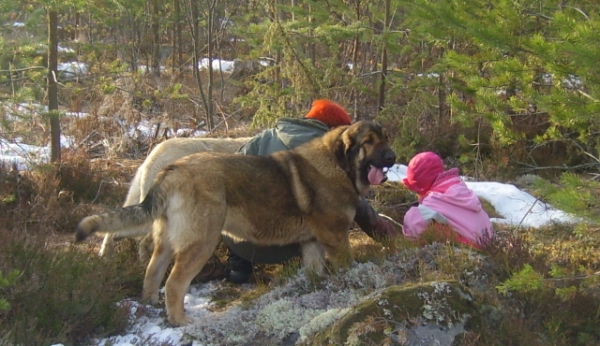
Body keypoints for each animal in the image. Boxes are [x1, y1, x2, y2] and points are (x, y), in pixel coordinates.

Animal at [75, 120, 396, 326]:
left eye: (386, 138)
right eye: (368, 143)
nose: (393, 157)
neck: (338, 163)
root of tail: (172, 169)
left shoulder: (312, 243)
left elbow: (315, 274)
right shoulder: (336, 238)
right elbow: (348, 269)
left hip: (166, 240)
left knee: (153, 272)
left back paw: (151, 304)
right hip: (201, 242)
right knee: (175, 283)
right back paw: (181, 321)